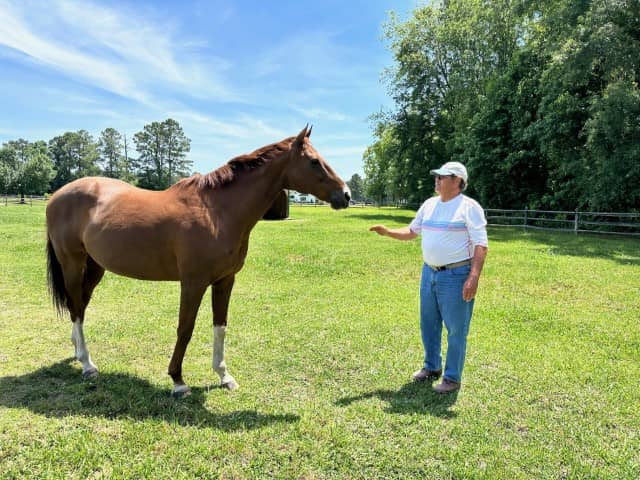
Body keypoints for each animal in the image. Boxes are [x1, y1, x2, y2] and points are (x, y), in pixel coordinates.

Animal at [45, 124, 350, 398]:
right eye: (314, 161)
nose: (345, 195)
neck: (216, 212)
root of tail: (57, 196)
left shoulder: (225, 280)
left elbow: (220, 326)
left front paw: (224, 376)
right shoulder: (193, 282)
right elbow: (185, 328)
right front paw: (178, 381)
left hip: (95, 266)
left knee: (80, 306)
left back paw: (78, 352)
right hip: (72, 263)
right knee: (76, 306)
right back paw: (87, 364)